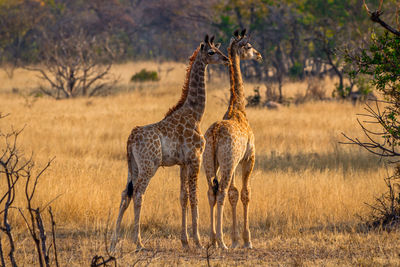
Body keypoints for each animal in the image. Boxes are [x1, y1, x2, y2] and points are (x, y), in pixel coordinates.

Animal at [110, 34, 228, 252]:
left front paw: (185, 241)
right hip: (149, 165)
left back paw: (114, 242)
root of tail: (130, 138)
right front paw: (198, 241)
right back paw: (138, 242)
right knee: (138, 193)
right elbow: (194, 197)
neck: (196, 114)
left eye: (219, 49)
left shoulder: (182, 163)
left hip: (133, 166)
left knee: (125, 194)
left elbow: (183, 197)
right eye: (211, 52)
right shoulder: (195, 158)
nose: (227, 60)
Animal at [203, 28, 262, 250]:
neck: (238, 109)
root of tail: (214, 135)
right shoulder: (248, 157)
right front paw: (246, 240)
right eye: (249, 46)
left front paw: (236, 239)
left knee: (211, 192)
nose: (259, 55)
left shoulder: (236, 161)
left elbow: (234, 194)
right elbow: (245, 193)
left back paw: (212, 239)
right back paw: (220, 241)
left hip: (209, 162)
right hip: (227, 164)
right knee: (220, 192)